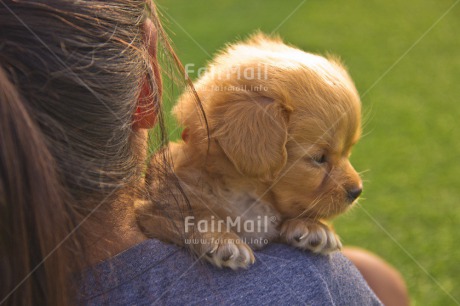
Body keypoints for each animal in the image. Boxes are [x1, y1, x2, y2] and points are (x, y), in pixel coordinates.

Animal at [137, 32, 362, 268]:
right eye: (319, 158)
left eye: (348, 152)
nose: (357, 191)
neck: (249, 194)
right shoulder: (153, 213)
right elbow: (197, 216)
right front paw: (223, 241)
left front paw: (312, 227)